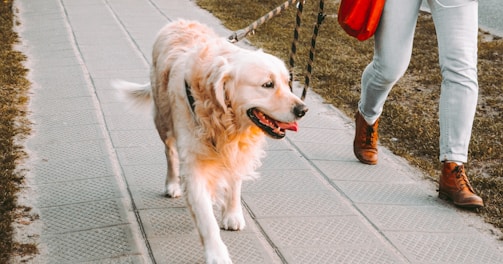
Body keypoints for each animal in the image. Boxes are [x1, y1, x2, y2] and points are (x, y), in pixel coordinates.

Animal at [113, 19, 308, 262]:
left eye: (287, 82)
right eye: (267, 85)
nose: (303, 110)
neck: (224, 120)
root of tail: (178, 21)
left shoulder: (237, 152)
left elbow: (234, 183)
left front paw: (232, 214)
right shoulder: (194, 165)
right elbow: (206, 219)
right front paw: (217, 253)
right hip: (163, 120)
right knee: (170, 153)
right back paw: (172, 184)